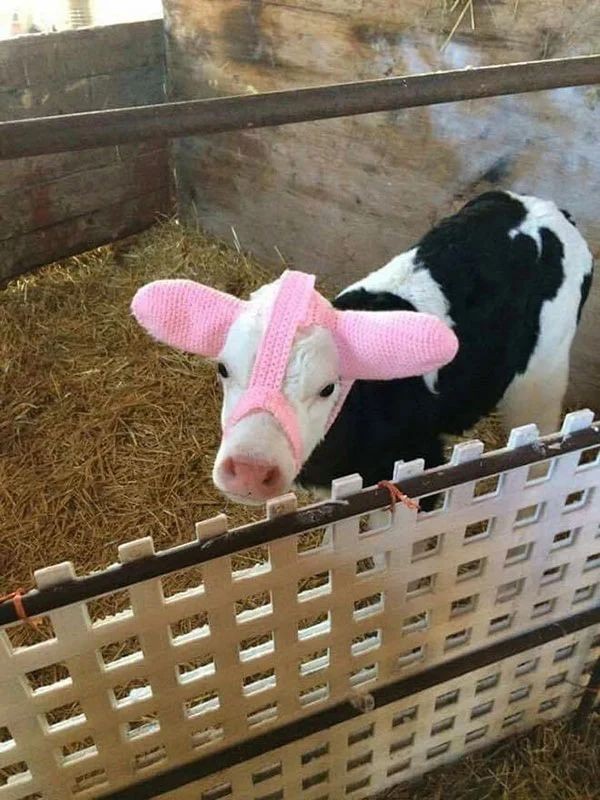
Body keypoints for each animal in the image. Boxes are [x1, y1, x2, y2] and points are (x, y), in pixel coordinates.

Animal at [131, 191, 593, 506]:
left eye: (328, 387)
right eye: (223, 369)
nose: (249, 469)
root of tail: (543, 208)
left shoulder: (422, 465)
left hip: (544, 371)